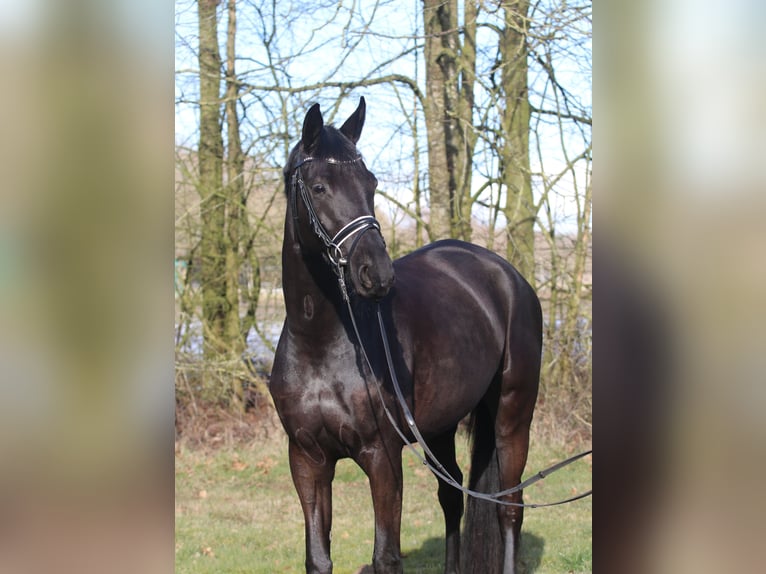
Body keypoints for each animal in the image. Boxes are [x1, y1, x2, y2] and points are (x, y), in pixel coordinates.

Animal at [272, 97, 544, 572]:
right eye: (320, 186)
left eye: (371, 182)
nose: (377, 274)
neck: (320, 344)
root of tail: (508, 276)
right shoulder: (307, 460)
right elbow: (319, 559)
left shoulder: (383, 457)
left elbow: (386, 556)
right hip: (441, 426)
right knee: (453, 494)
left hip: (513, 414)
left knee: (509, 508)